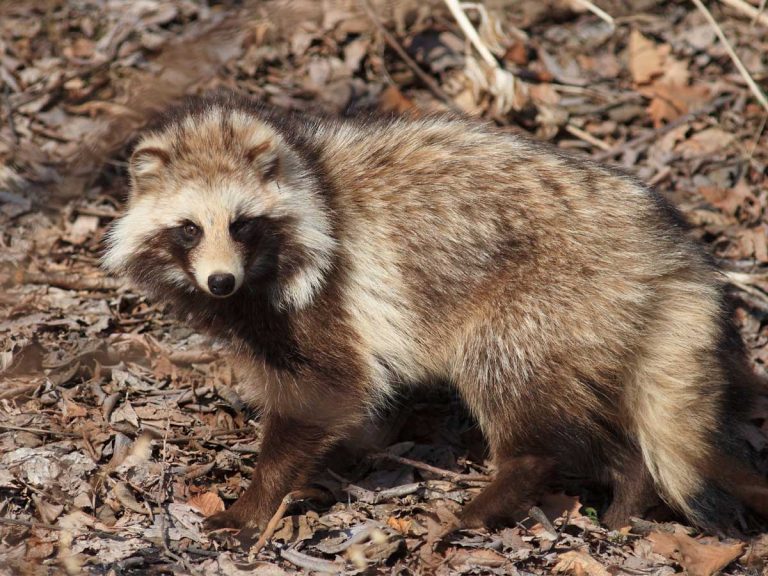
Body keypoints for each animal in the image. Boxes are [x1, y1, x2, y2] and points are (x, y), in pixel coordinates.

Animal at [103, 93, 768, 532]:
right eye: (189, 229)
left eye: (242, 225)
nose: (220, 281)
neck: (308, 174)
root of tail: (667, 246)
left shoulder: (327, 296)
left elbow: (332, 390)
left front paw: (257, 500)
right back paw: (628, 488)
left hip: (545, 297)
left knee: (504, 372)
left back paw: (506, 485)